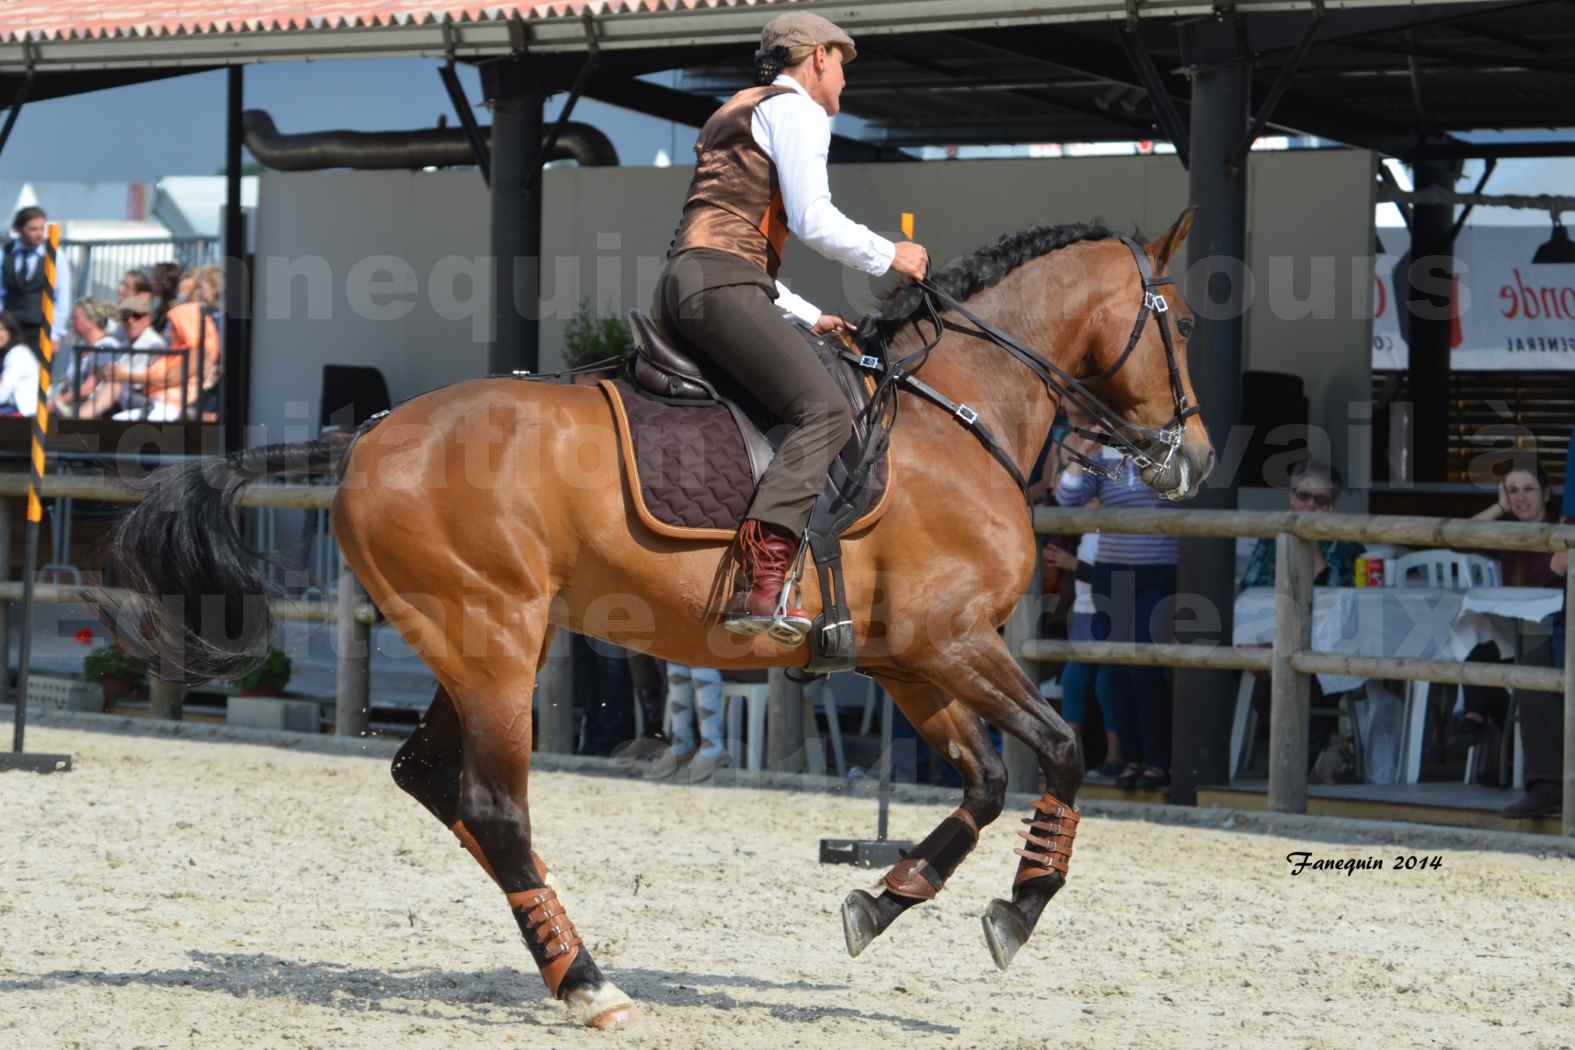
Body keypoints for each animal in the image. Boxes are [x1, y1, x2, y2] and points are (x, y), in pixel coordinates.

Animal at [107, 209, 1215, 1032]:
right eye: (1183, 326)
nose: (1195, 459)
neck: (958, 413)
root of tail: (370, 433)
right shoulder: (954, 642)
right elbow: (1062, 751)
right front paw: (1016, 912)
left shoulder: (907, 660)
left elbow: (984, 781)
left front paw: (880, 897)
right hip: (491, 640)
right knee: (494, 804)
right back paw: (588, 980)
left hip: (474, 643)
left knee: (435, 782)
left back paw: (557, 941)